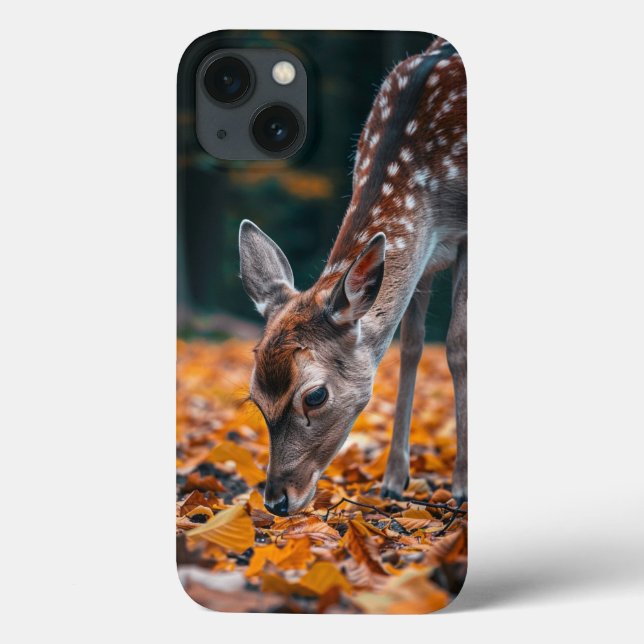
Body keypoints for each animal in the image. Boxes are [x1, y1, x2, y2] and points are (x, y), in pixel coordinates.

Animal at [238, 38, 467, 516]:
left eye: (315, 396)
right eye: (254, 398)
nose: (276, 500)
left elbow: (457, 344)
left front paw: (463, 485)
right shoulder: (424, 252)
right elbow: (412, 346)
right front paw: (394, 481)